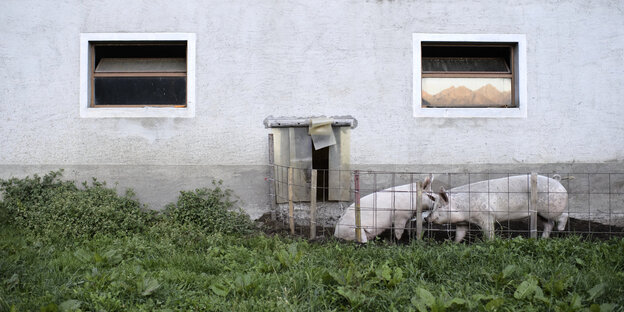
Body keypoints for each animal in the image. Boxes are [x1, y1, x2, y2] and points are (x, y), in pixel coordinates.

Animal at [426, 174, 568, 243]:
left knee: (563, 215)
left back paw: (561, 228)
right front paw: (453, 244)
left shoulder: (486, 216)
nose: (427, 218)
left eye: (440, 206)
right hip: (540, 213)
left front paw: (490, 243)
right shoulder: (463, 223)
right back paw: (543, 239)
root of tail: (558, 182)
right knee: (549, 224)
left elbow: (489, 232)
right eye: (433, 206)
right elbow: (460, 234)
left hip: (550, 208)